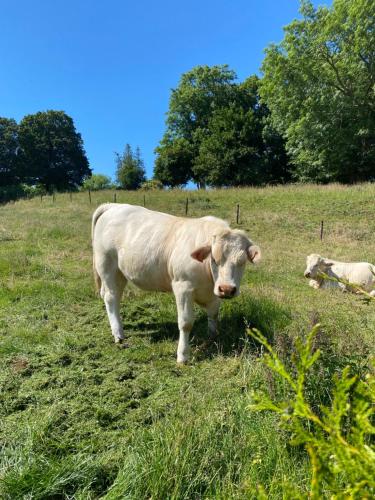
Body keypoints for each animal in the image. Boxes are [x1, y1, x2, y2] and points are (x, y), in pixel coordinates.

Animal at [92, 203, 262, 364]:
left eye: (242, 261)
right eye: (214, 258)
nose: (226, 289)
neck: (207, 274)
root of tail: (113, 206)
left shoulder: (213, 292)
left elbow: (213, 314)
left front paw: (213, 338)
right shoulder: (183, 287)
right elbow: (186, 323)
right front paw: (183, 355)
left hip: (120, 273)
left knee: (114, 296)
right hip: (107, 266)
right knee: (111, 297)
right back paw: (119, 334)